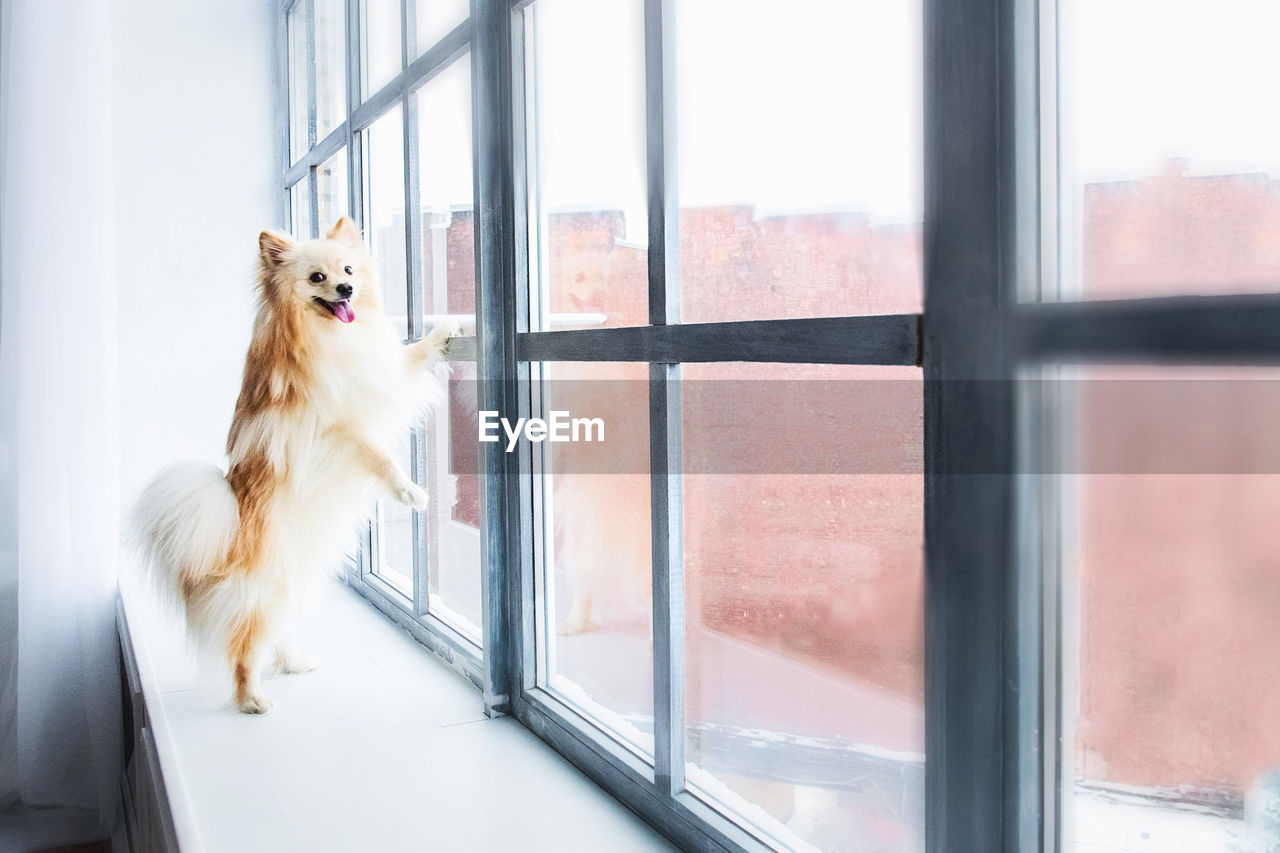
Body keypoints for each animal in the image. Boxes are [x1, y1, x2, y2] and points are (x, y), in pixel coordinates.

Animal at [129, 217, 458, 712]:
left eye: (348, 270)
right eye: (317, 278)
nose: (346, 288)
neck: (330, 336)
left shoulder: (379, 375)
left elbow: (410, 355)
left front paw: (445, 330)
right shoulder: (335, 429)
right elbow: (379, 454)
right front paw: (409, 491)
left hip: (295, 583)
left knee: (278, 630)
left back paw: (294, 663)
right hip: (261, 592)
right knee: (245, 646)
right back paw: (252, 699)